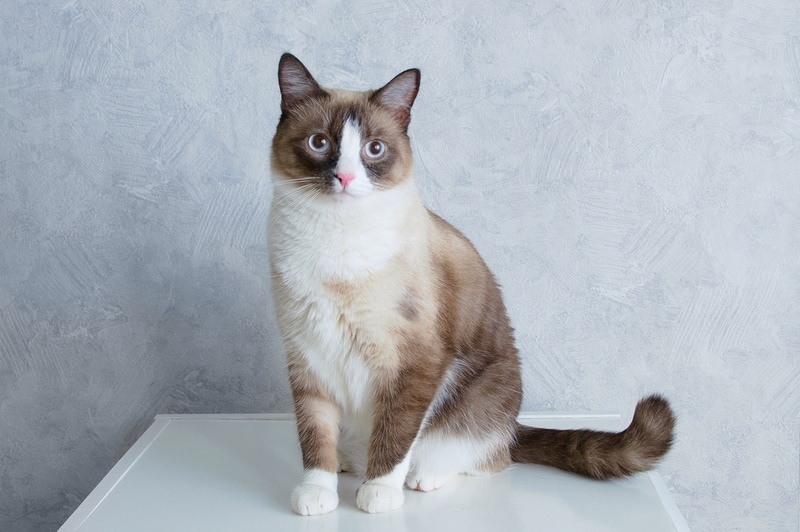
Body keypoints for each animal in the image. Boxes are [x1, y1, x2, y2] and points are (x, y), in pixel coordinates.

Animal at [268, 52, 676, 512]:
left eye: (374, 149)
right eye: (319, 143)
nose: (346, 179)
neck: (336, 241)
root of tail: (514, 426)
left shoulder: (415, 364)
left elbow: (395, 435)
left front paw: (378, 493)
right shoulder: (307, 357)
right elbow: (314, 436)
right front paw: (315, 493)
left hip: (476, 395)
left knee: (480, 455)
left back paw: (421, 476)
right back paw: (344, 461)